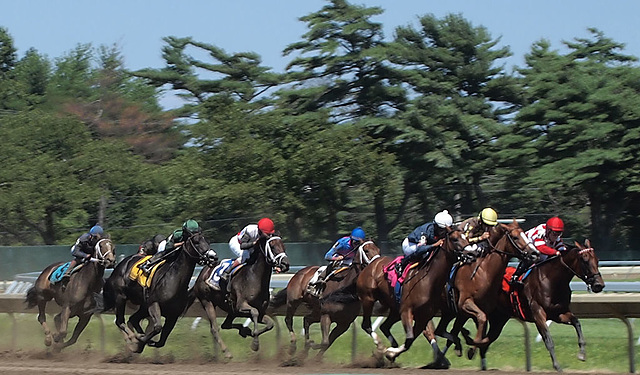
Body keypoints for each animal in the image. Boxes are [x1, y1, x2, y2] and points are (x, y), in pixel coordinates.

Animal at [382, 228, 468, 362]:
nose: (472, 252)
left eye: (467, 238)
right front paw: (390, 352)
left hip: (395, 311)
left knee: (384, 326)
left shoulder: (424, 316)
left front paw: (391, 353)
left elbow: (411, 340)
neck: (428, 280)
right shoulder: (406, 310)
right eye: (455, 239)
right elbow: (410, 337)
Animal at [472, 239, 608, 372]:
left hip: (499, 318)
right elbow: (548, 340)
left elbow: (576, 322)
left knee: (487, 341)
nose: (599, 285)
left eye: (597, 260)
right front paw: (557, 366)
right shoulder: (538, 314)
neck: (552, 280)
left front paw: (582, 354)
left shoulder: (558, 313)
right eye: (584, 260)